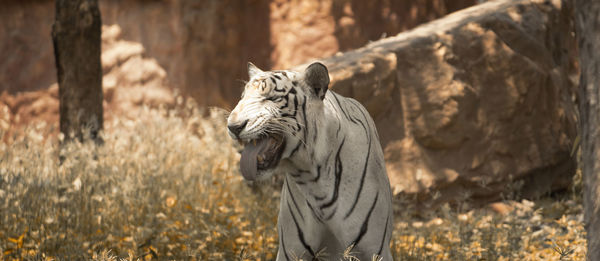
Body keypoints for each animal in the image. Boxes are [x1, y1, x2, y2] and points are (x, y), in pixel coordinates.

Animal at [226, 62, 394, 258]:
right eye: (242, 97)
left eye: (272, 98)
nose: (233, 127)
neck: (311, 176)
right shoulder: (290, 250)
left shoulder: (376, 249)